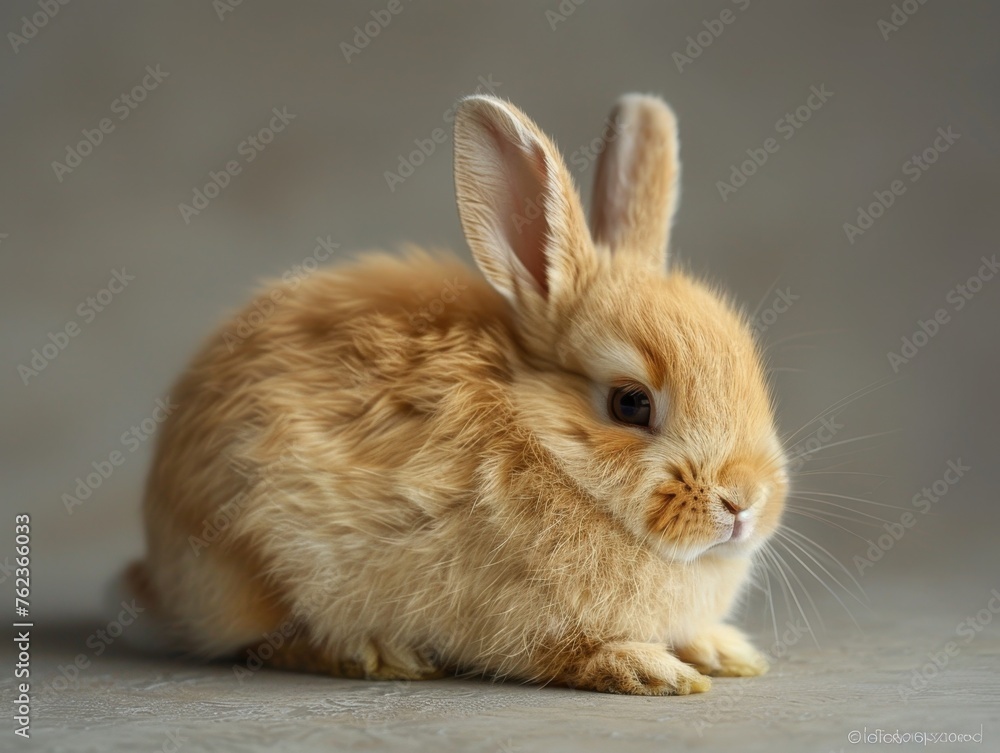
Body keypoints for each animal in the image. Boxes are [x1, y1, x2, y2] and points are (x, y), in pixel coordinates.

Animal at [127, 92, 788, 696]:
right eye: (630, 404)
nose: (744, 502)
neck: (546, 443)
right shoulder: (521, 620)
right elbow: (572, 652)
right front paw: (651, 670)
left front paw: (726, 652)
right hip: (251, 563)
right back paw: (378, 654)